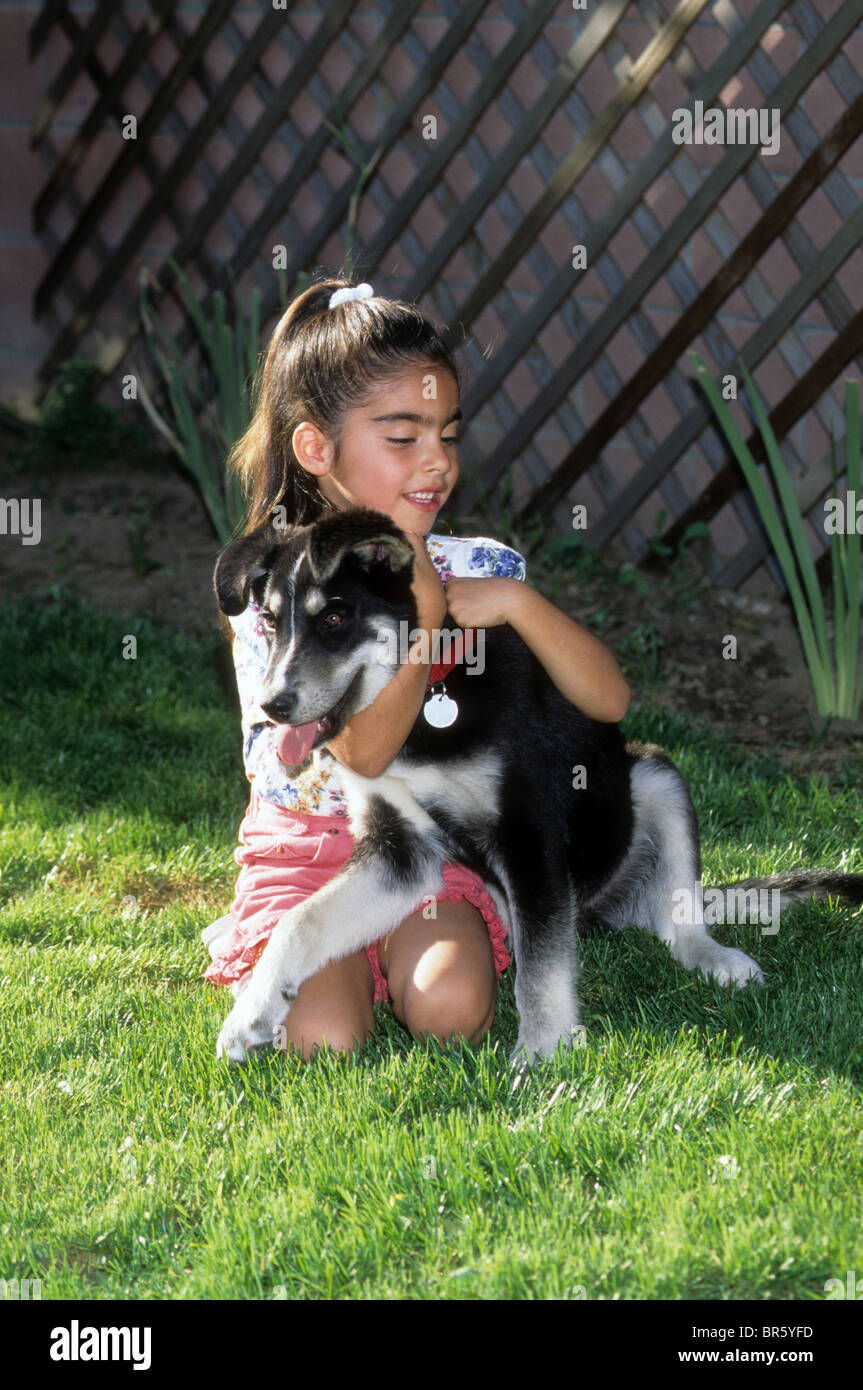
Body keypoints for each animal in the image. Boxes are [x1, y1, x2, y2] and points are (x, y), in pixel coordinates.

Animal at [212, 511, 861, 1061]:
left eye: (335, 618)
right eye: (268, 622)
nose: (271, 705)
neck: (424, 697)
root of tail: (614, 908)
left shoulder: (529, 837)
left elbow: (542, 966)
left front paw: (543, 1055)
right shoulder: (401, 853)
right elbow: (301, 922)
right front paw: (252, 1014)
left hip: (653, 776)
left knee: (679, 916)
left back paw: (715, 957)